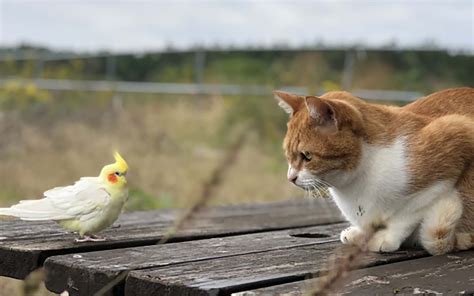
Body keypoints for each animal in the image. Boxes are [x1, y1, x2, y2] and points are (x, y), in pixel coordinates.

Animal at [274, 87, 474, 254]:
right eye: (288, 155)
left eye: (307, 156)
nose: (290, 178)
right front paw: (359, 233)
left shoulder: (456, 136)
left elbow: (406, 214)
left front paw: (387, 238)